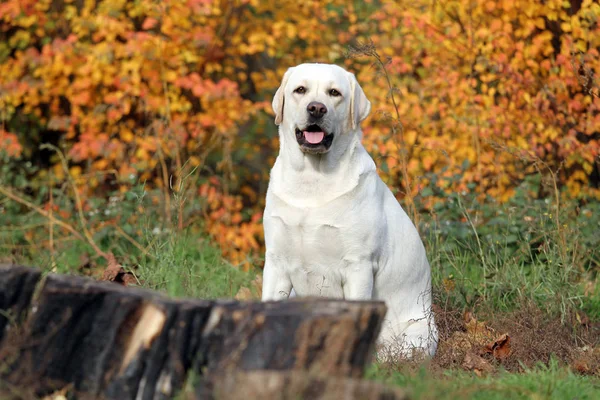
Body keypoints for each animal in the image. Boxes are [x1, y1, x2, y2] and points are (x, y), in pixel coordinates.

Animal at [262, 64, 436, 358]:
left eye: (334, 93)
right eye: (300, 90)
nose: (316, 108)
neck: (312, 180)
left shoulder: (359, 265)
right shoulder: (276, 262)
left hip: (419, 333)